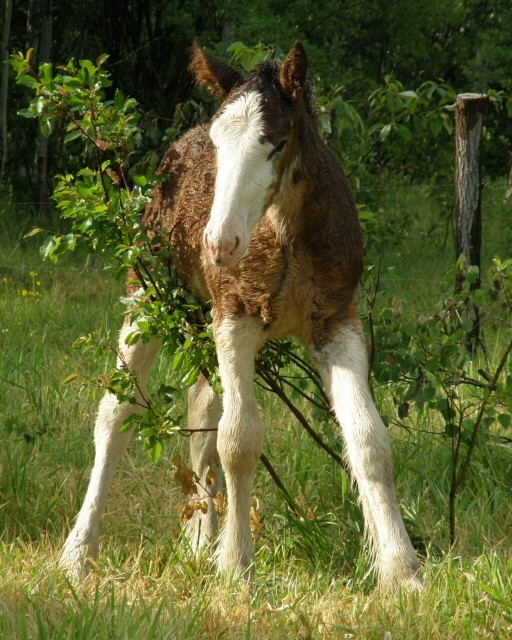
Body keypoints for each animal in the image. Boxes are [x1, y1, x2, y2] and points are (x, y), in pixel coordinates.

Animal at [60, 40, 422, 592]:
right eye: (218, 141)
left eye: (276, 142)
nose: (219, 243)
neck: (287, 233)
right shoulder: (236, 318)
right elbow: (240, 440)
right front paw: (235, 567)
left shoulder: (336, 324)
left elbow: (369, 441)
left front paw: (402, 573)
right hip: (148, 298)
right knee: (115, 415)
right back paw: (79, 554)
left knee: (200, 410)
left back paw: (197, 541)